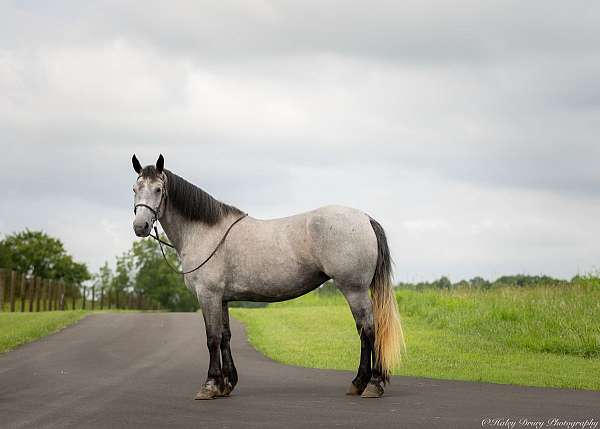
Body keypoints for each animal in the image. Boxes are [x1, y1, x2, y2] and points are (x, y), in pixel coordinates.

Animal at [130, 153, 404, 398]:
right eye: (135, 188)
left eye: (158, 189)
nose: (140, 226)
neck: (204, 232)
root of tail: (365, 218)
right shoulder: (223, 299)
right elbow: (225, 337)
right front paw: (226, 384)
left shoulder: (208, 296)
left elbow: (212, 338)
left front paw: (209, 386)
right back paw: (361, 383)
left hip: (354, 289)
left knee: (368, 329)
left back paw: (370, 384)